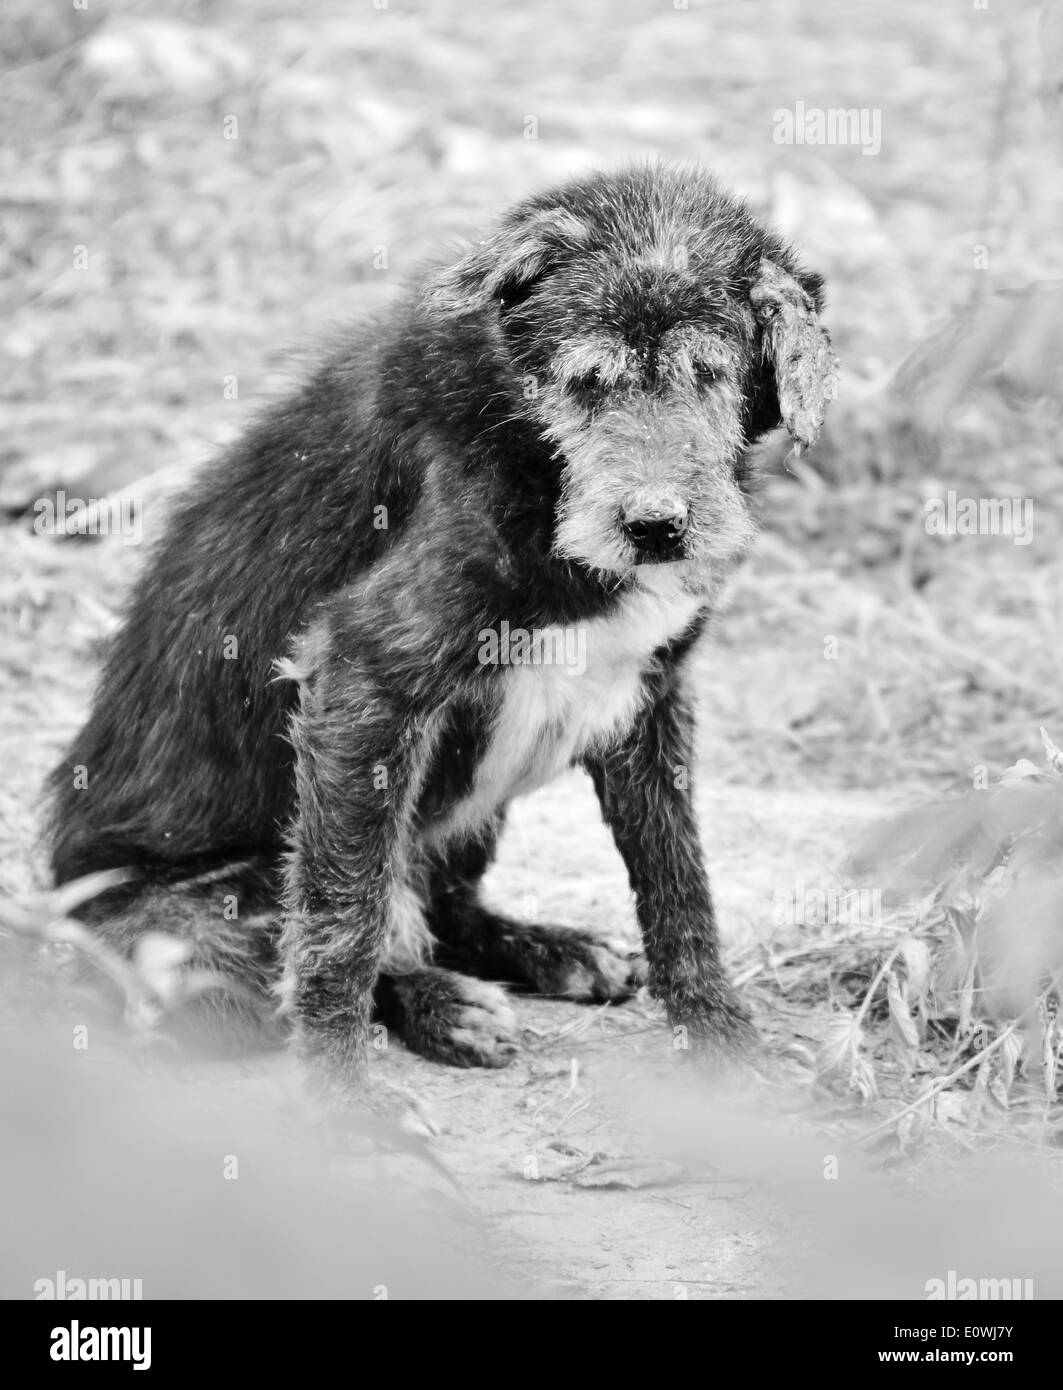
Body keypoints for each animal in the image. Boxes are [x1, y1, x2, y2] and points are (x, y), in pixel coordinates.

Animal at [45, 165, 833, 1084]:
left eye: (709, 374)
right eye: (585, 381)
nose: (655, 525)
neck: (534, 457)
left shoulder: (652, 692)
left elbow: (678, 882)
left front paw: (718, 1034)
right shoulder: (362, 677)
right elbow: (340, 930)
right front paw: (343, 1093)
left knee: (441, 899)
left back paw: (545, 950)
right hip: (196, 924)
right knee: (338, 936)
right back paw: (440, 1002)